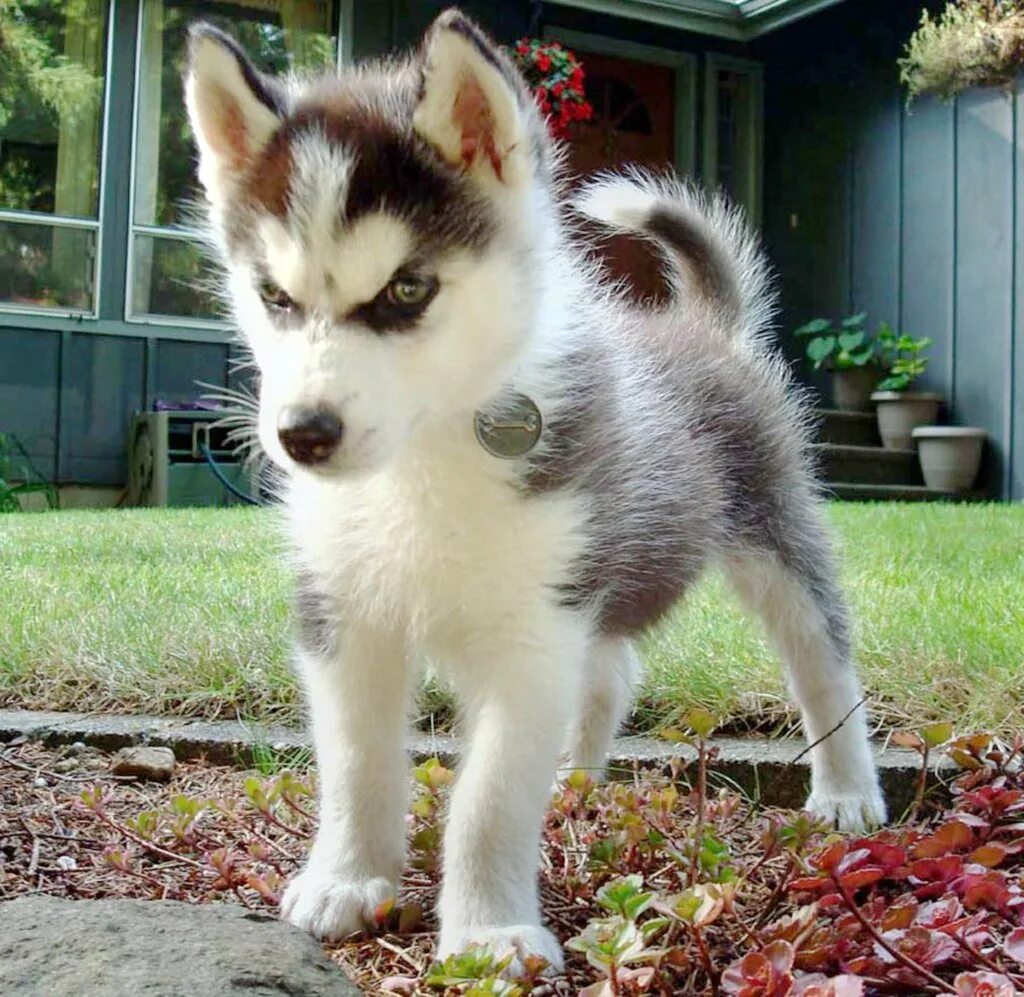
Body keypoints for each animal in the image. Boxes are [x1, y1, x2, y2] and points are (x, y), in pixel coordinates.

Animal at [186, 9, 888, 974]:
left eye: (408, 288)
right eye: (273, 296)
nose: (302, 435)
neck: (425, 462)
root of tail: (703, 324)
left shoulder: (532, 634)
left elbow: (489, 797)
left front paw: (488, 932)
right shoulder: (343, 616)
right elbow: (358, 761)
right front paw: (347, 878)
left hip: (774, 534)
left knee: (823, 659)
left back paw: (849, 792)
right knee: (612, 672)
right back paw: (576, 781)